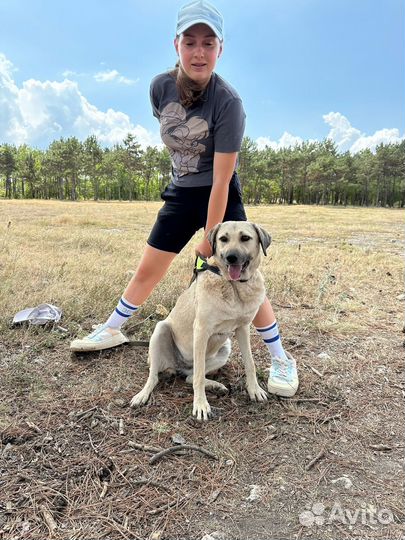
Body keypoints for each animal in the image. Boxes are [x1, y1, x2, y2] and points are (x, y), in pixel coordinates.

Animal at [131, 221, 272, 420]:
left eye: (245, 238)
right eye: (223, 239)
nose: (231, 258)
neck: (234, 287)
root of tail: (179, 366)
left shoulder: (243, 328)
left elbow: (250, 363)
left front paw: (254, 389)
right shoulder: (201, 330)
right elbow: (198, 377)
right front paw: (200, 405)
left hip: (224, 348)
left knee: (189, 377)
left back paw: (216, 386)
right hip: (161, 330)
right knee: (157, 377)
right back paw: (142, 395)